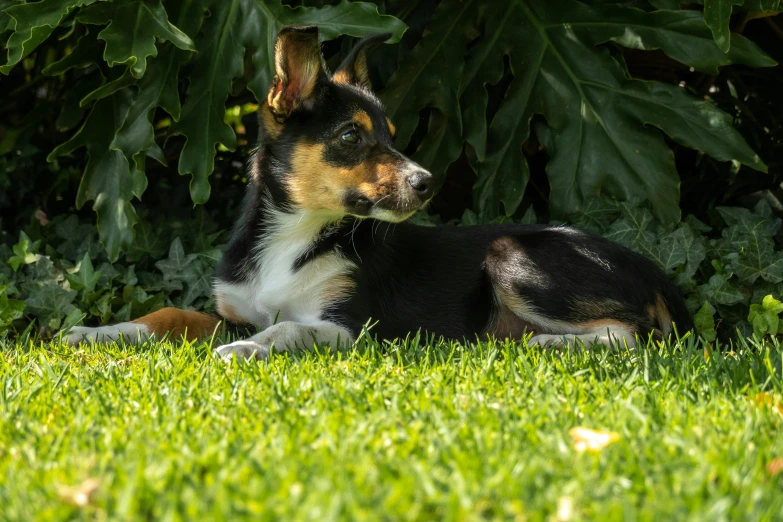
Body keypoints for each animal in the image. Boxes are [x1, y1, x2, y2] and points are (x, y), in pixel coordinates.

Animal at [64, 24, 696, 358]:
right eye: (352, 137)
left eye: (392, 136)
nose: (427, 182)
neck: (293, 237)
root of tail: (657, 269)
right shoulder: (236, 310)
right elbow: (169, 312)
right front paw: (96, 333)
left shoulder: (350, 327)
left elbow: (287, 326)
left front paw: (247, 350)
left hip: (511, 254)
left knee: (636, 335)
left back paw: (545, 344)